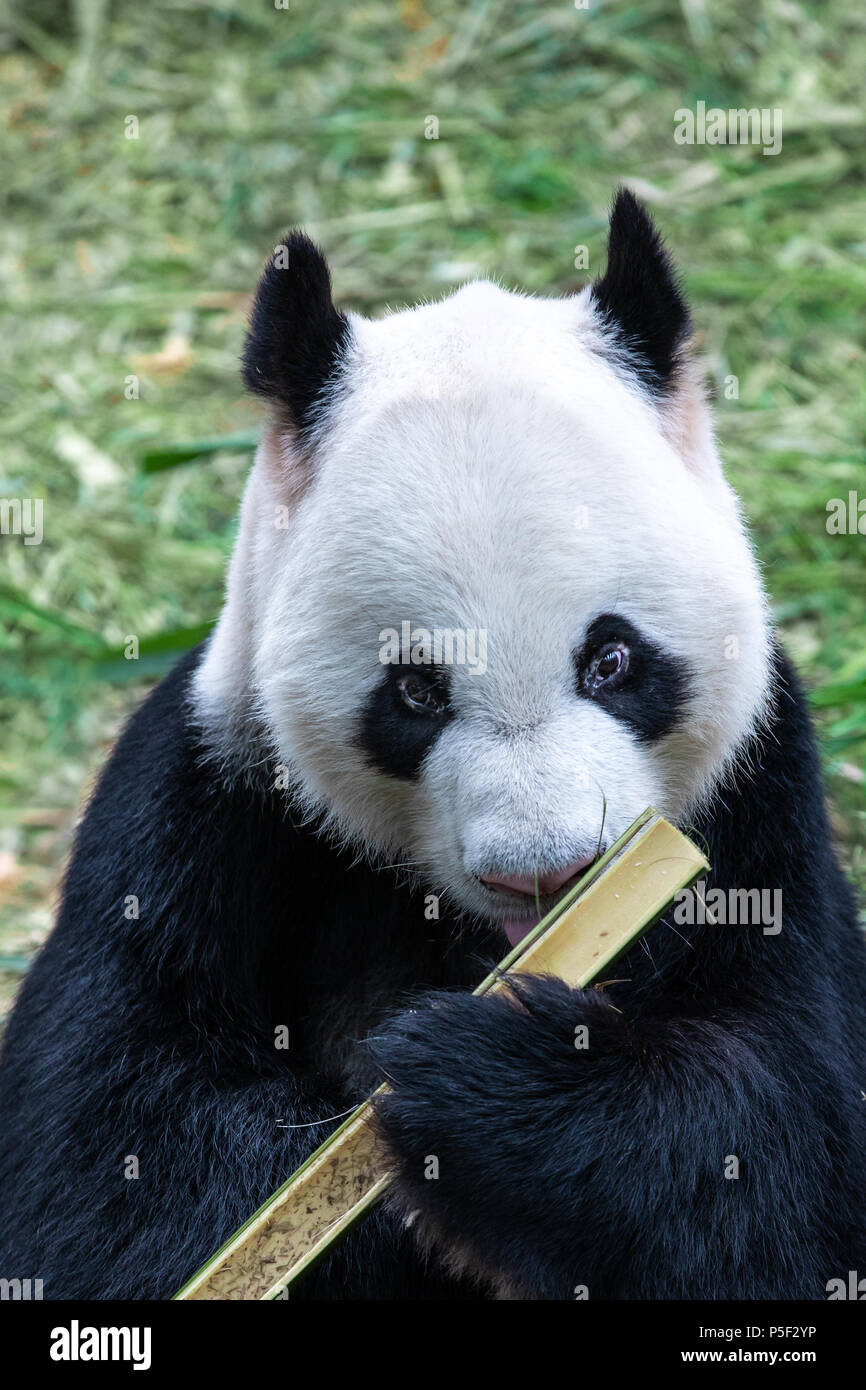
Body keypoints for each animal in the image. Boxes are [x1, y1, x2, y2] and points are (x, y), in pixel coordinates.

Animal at [1, 190, 866, 1295]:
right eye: (415, 689)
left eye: (611, 661)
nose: (546, 873)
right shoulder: (207, 795)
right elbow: (106, 1170)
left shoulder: (762, 807)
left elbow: (781, 1152)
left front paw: (490, 1093)